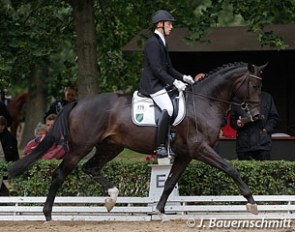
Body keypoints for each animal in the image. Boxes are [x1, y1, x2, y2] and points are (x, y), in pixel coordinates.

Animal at [8, 61, 266, 221]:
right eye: (254, 85)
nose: (256, 116)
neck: (204, 102)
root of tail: (78, 103)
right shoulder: (199, 148)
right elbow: (230, 168)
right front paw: (252, 203)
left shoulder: (185, 154)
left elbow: (170, 182)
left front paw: (160, 211)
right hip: (80, 147)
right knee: (60, 174)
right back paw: (47, 214)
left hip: (111, 146)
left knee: (90, 168)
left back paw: (112, 197)